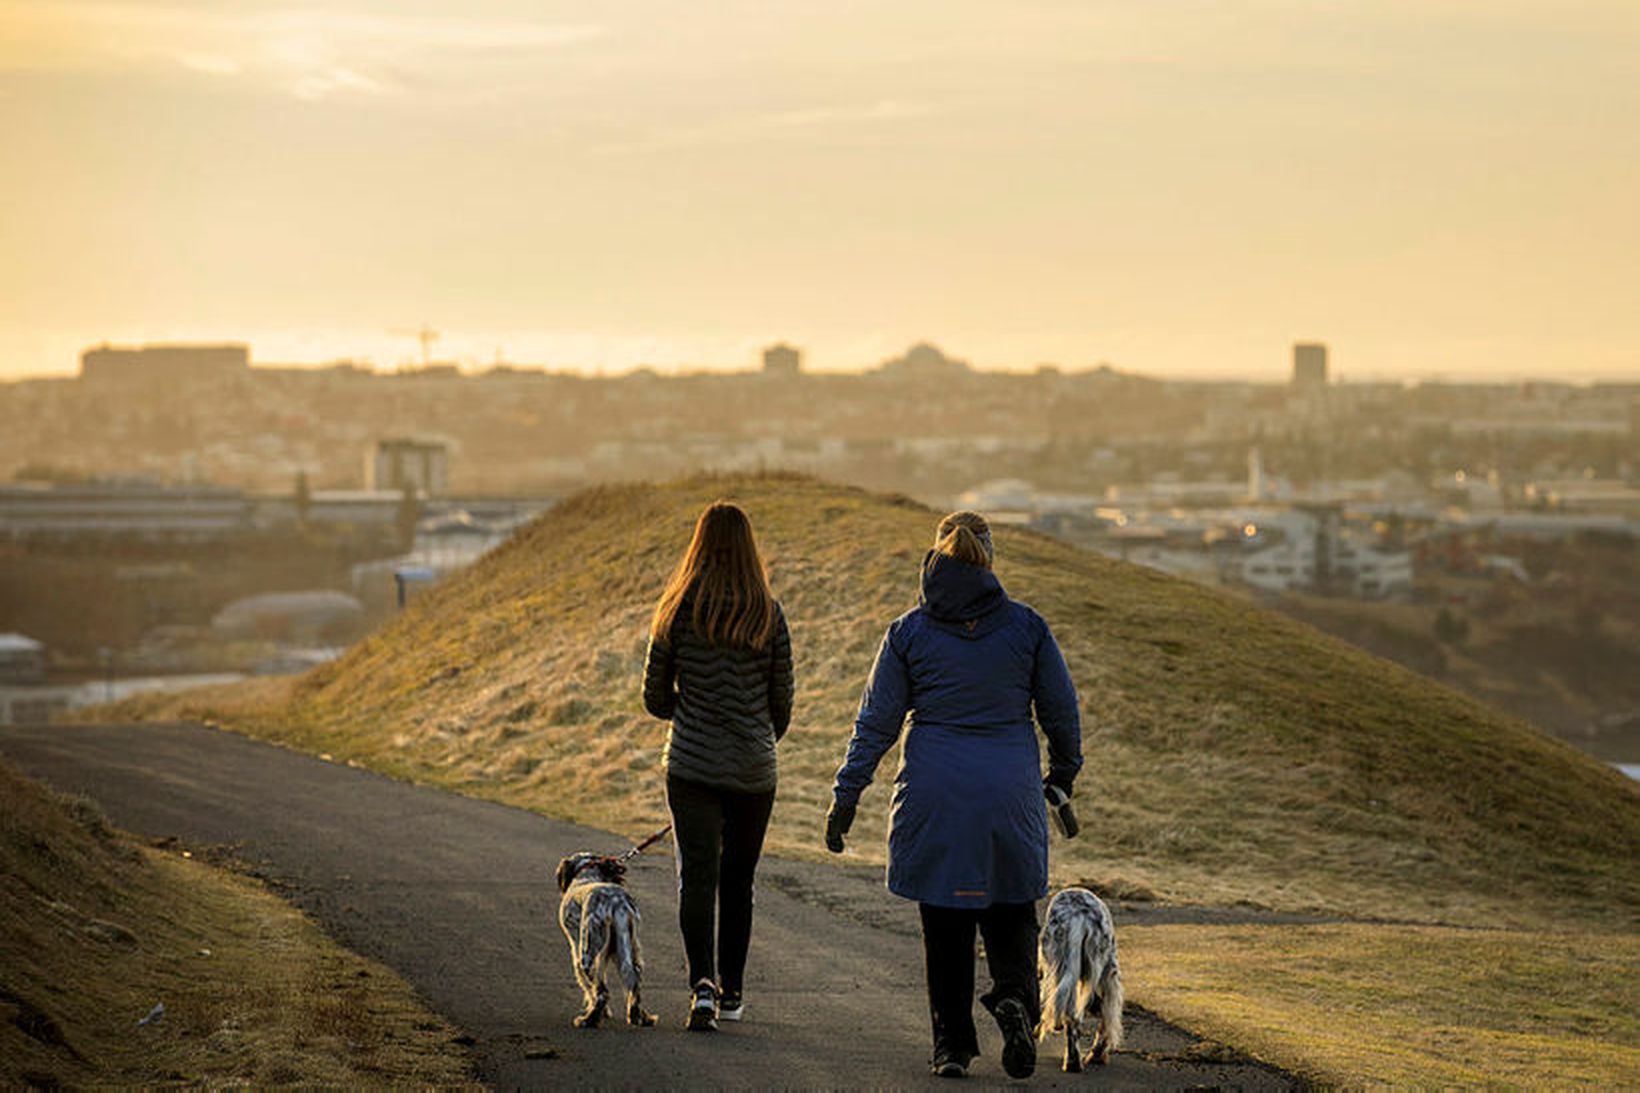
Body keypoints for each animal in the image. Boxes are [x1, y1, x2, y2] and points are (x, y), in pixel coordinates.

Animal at [1036, 886, 1128, 1063]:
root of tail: (1079, 917)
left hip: (1061, 966)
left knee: (1070, 1013)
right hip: (1097, 971)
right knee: (1082, 1016)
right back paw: (1083, 1057)